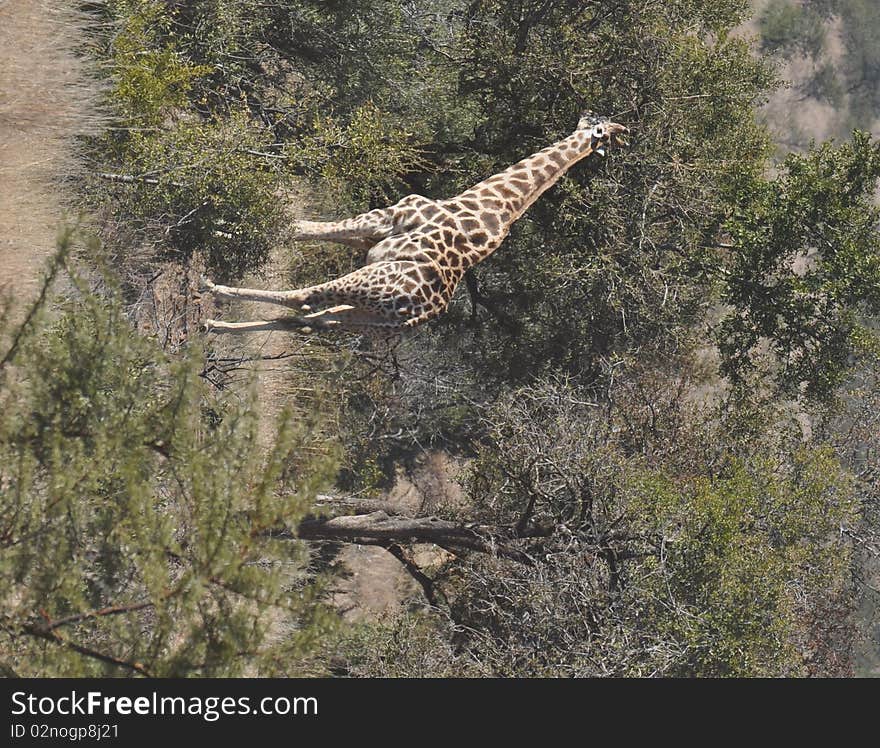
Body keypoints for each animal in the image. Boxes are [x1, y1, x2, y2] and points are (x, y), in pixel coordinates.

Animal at [201, 111, 624, 334]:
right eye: (598, 125)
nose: (622, 133)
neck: (492, 205)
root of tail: (418, 313)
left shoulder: (383, 219)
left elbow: (297, 227)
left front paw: (219, 226)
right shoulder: (370, 239)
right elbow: (303, 230)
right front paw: (225, 227)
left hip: (367, 286)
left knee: (304, 300)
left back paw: (212, 293)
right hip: (366, 317)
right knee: (312, 321)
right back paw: (216, 328)